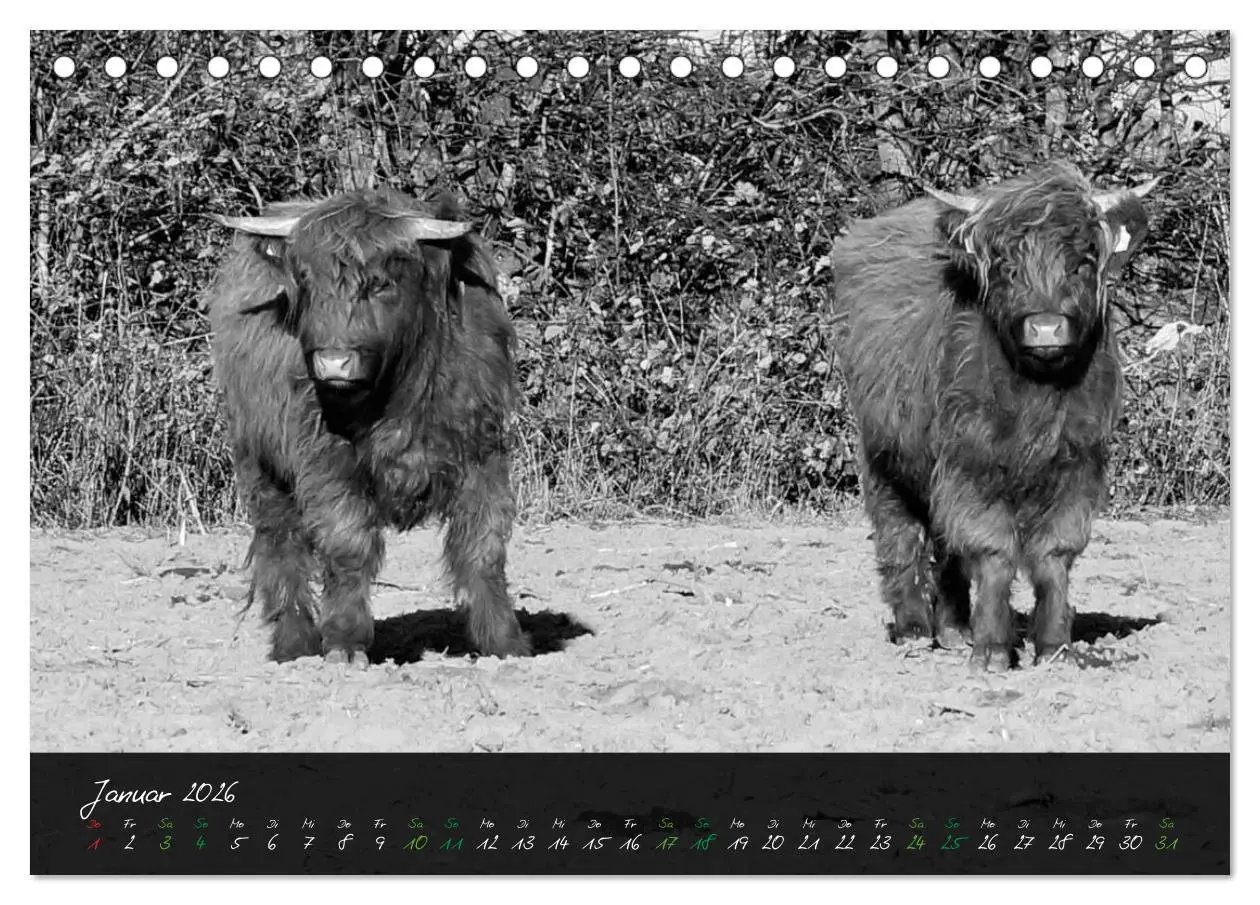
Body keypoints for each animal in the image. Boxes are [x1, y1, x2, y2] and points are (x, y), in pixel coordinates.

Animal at [207, 187, 531, 666]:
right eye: (305, 282)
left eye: (381, 283)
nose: (333, 362)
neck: (399, 394)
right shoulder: (327, 463)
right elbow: (348, 545)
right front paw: (345, 643)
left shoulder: (482, 453)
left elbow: (483, 546)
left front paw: (506, 642)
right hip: (259, 464)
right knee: (281, 544)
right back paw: (294, 645)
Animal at [830, 161, 1157, 672]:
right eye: (1007, 266)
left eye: (1082, 262)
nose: (1046, 327)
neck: (1036, 397)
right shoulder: (972, 463)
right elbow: (992, 551)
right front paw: (992, 650)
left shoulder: (1078, 463)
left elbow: (1055, 553)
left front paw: (1054, 647)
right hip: (883, 454)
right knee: (900, 533)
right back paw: (913, 629)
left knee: (944, 544)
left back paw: (952, 629)